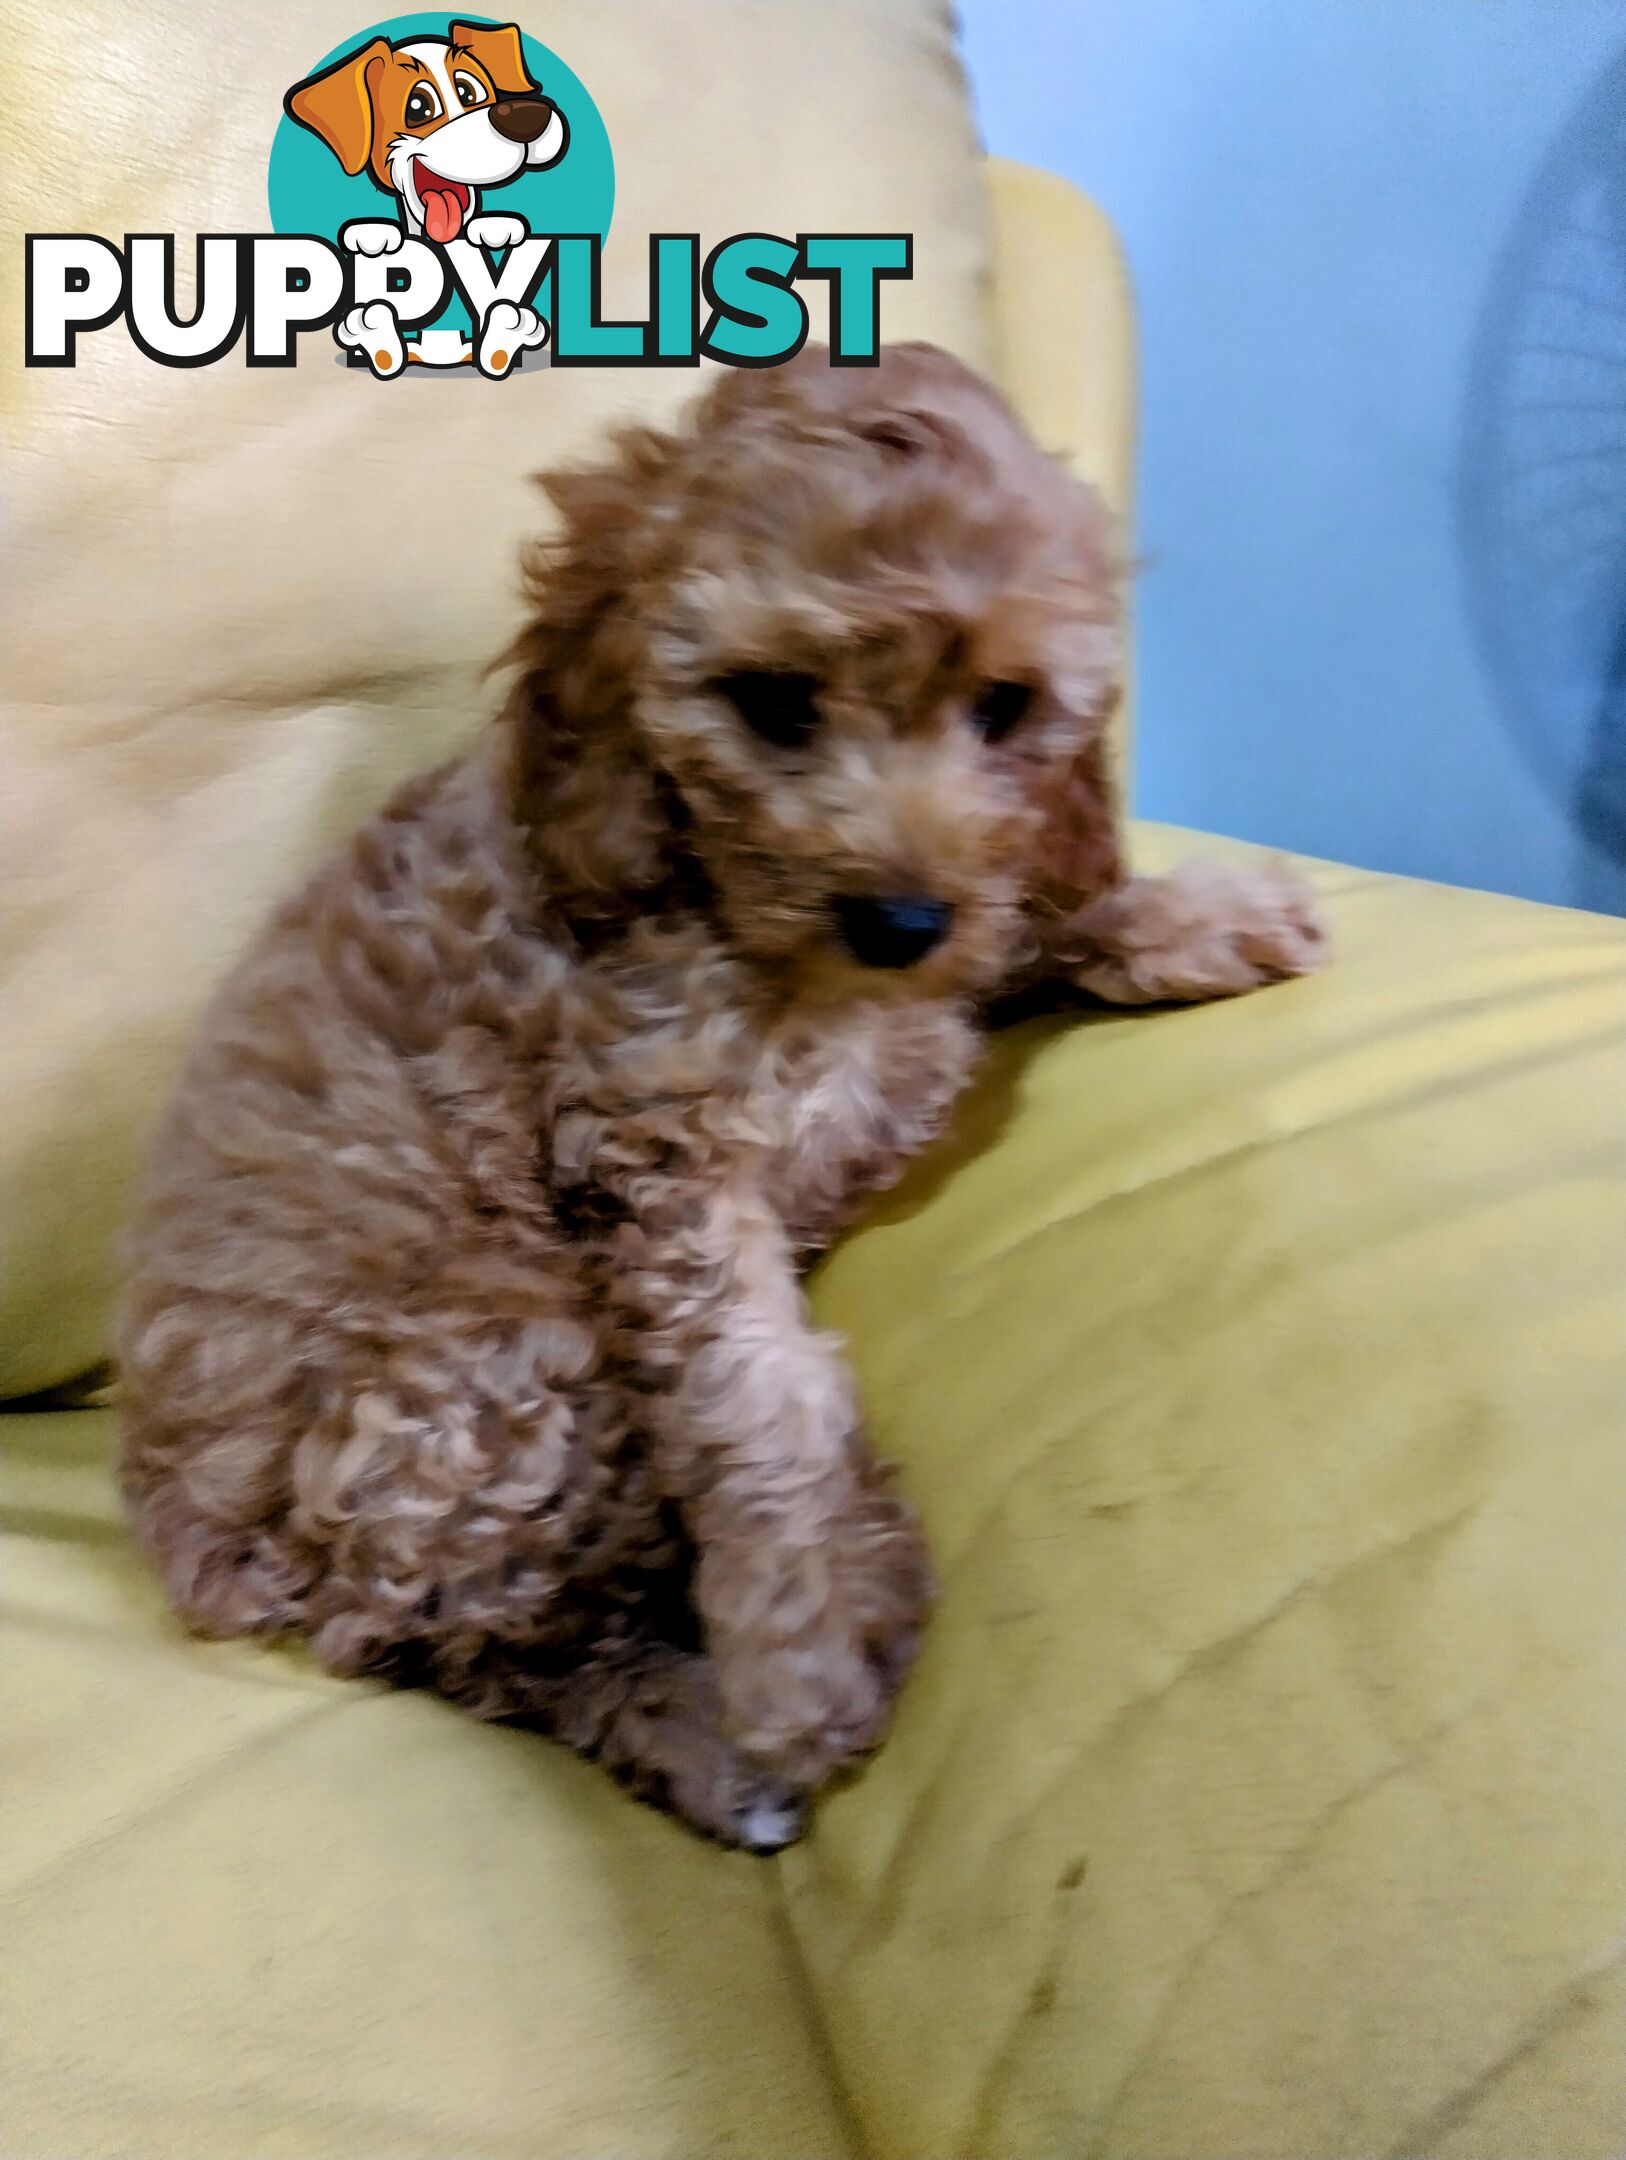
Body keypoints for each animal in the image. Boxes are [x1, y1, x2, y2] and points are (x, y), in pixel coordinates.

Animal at [120, 345, 1321, 1848]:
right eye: (775, 704)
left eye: (1003, 706)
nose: (899, 917)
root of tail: (190, 1546)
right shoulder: (658, 1153)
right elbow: (762, 1396)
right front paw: (804, 1652)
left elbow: (1029, 914)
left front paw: (1204, 916)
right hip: (496, 1379)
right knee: (511, 1648)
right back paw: (728, 1722)